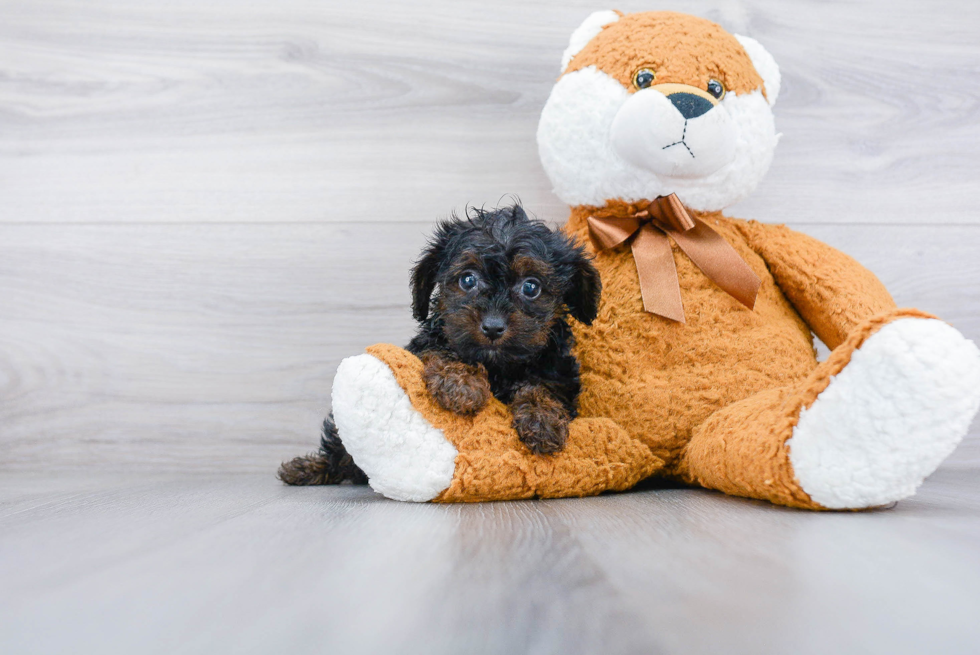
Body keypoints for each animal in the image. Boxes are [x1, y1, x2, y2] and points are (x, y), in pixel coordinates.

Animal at [276, 205, 596, 486]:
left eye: (531, 287)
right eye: (468, 280)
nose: (493, 327)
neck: (498, 367)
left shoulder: (558, 372)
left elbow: (543, 387)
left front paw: (543, 421)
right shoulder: (426, 345)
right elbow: (443, 351)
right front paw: (462, 384)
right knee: (339, 451)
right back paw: (307, 469)